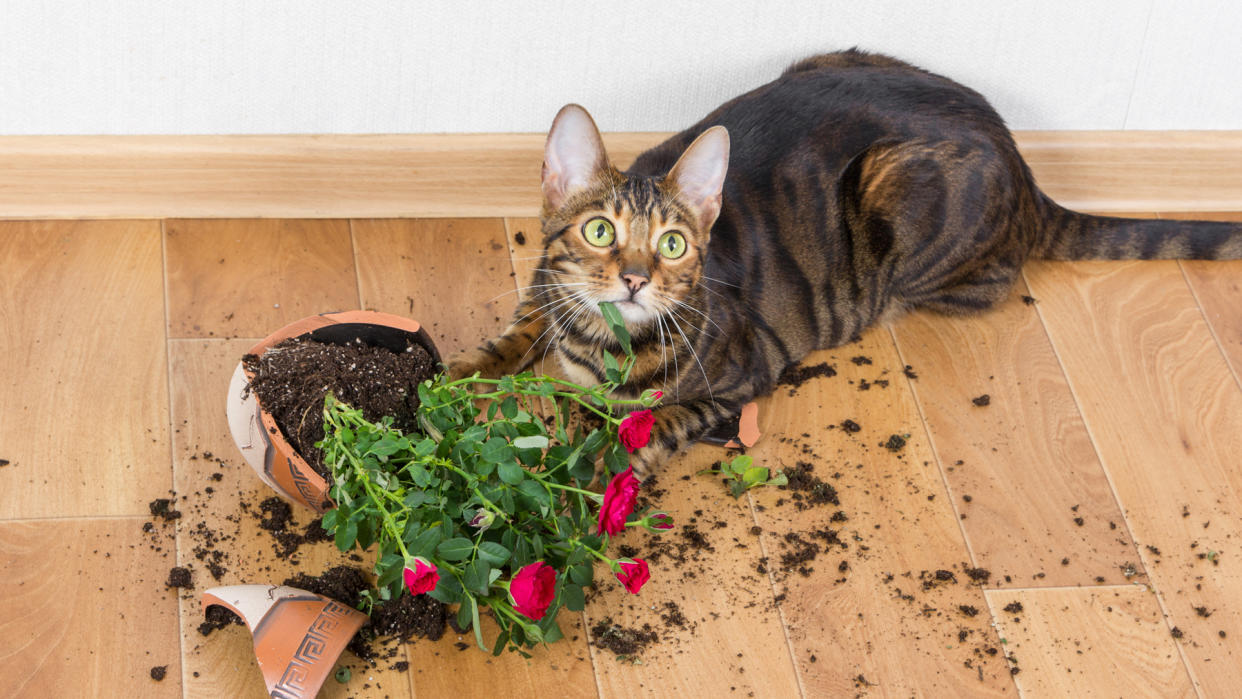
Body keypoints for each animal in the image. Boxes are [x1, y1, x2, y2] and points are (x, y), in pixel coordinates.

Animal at [449, 46, 1242, 479]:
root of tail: (1023, 165)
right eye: (599, 230)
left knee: (988, 281)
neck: (599, 345)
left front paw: (609, 468)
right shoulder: (545, 290)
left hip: (898, 192)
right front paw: (458, 376)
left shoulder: (746, 377)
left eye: (673, 243)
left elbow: (664, 419)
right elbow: (519, 329)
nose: (637, 278)